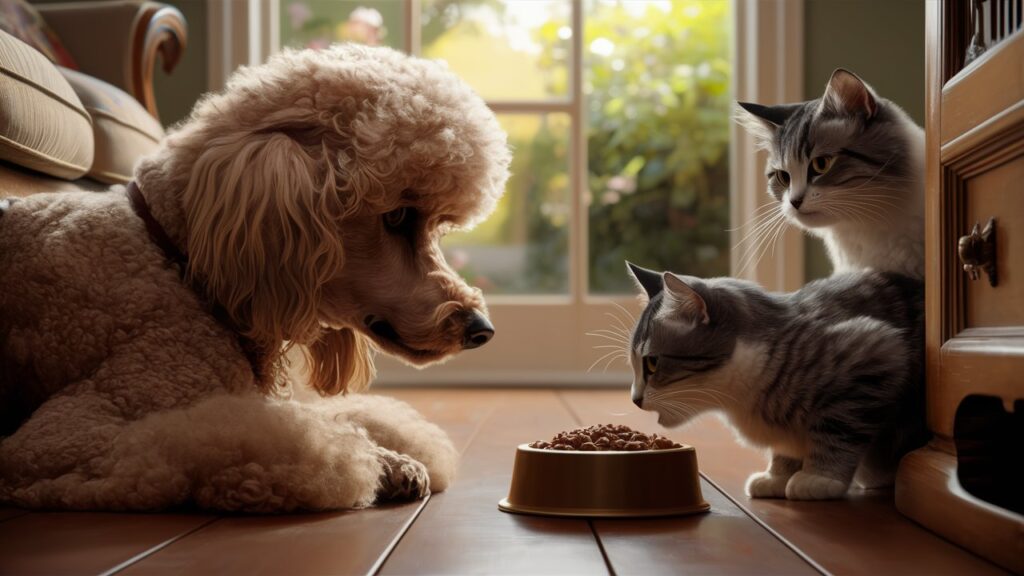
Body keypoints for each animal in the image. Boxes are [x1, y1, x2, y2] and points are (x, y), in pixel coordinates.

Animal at [622, 261, 929, 498]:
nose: (634, 400)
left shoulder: (874, 353)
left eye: (652, 363)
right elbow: (785, 451)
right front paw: (778, 475)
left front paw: (819, 477)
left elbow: (839, 431)